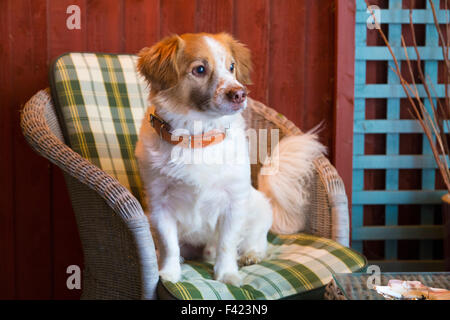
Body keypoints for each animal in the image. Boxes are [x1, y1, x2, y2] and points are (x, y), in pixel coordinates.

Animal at [135, 32, 326, 286]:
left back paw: (251, 255)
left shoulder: (233, 203)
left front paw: (226, 274)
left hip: (259, 209)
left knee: (257, 242)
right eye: (200, 69)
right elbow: (169, 246)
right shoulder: (159, 206)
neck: (197, 138)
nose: (240, 93)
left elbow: (226, 244)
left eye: (232, 67)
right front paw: (169, 273)